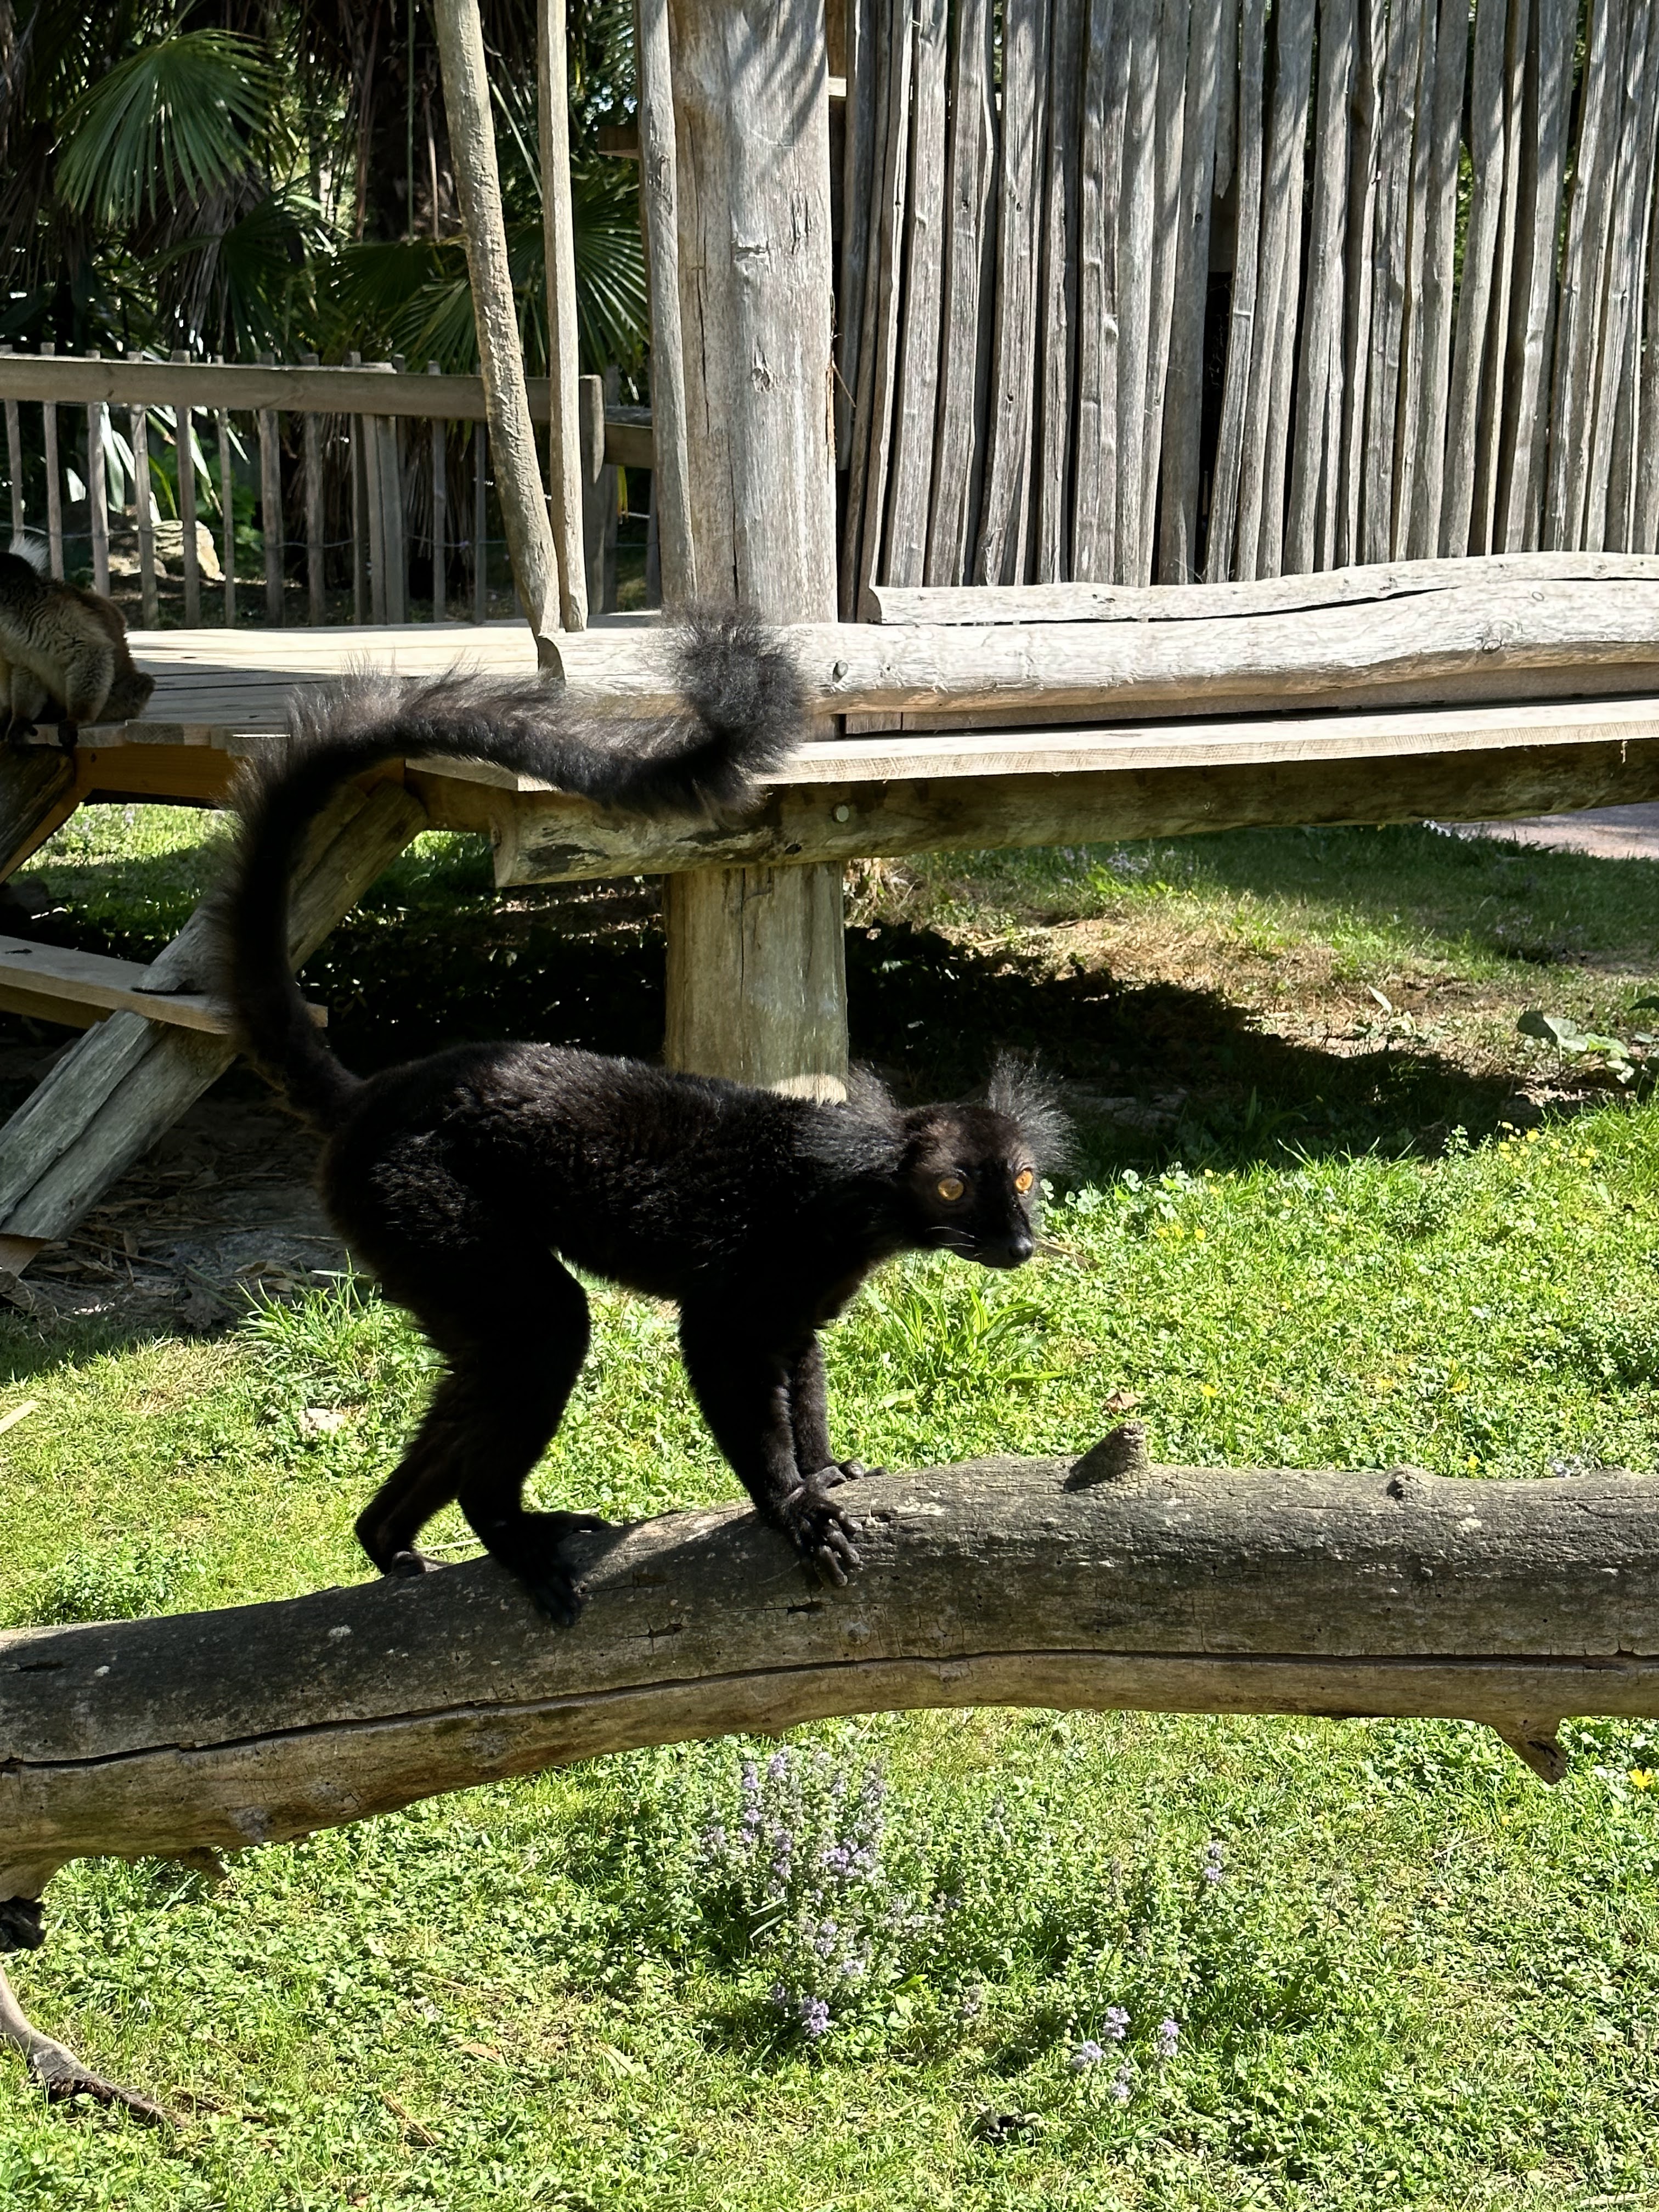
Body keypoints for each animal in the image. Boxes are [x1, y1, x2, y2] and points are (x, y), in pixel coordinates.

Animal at [0, 540, 156, 742]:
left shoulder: (50, 612)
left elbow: (92, 649)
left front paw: (78, 718)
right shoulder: (12, 639)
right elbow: (26, 669)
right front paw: (21, 719)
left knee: (141, 683)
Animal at [214, 613, 1066, 1624]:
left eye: (1023, 1179)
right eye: (951, 1187)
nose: (1019, 1242)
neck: (867, 1202)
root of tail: (376, 1096)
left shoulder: (800, 1308)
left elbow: (806, 1382)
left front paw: (824, 1470)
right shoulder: (750, 1286)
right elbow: (727, 1365)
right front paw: (791, 1505)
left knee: (482, 1365)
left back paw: (389, 1536)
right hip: (422, 1203)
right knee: (544, 1327)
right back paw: (505, 1526)